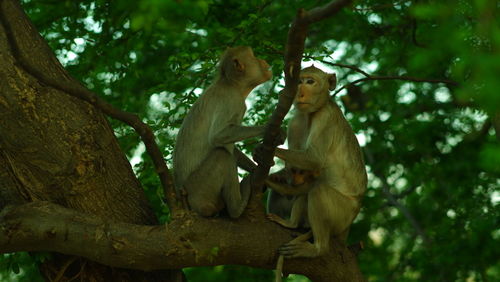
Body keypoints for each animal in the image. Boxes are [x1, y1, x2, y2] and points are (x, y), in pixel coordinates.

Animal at [173, 45, 274, 218]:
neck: (231, 84)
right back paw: (236, 208)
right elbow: (218, 136)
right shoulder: (232, 100)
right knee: (222, 155)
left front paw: (258, 161)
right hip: (199, 189)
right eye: (254, 57)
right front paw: (269, 129)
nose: (263, 60)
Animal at [256, 65, 366, 258]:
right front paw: (275, 174)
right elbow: (290, 169)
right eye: (299, 81)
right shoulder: (296, 121)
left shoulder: (325, 117)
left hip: (343, 213)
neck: (311, 115)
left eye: (310, 82)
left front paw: (268, 149)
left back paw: (317, 248)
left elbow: (314, 159)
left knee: (318, 191)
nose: (299, 93)